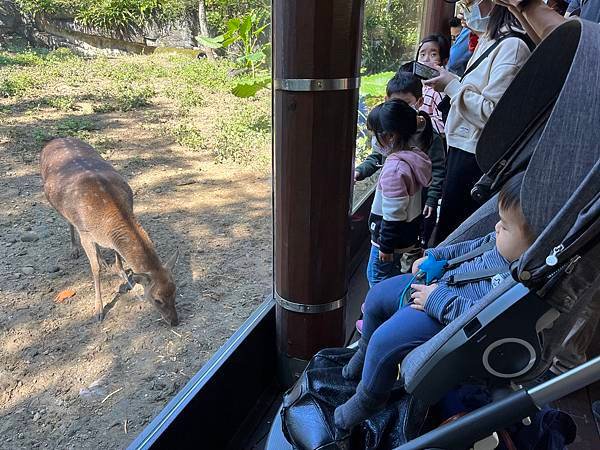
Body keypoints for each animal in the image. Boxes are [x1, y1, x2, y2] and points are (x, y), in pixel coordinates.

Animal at [40, 138, 178, 326]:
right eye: (157, 299)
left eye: (175, 290)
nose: (175, 321)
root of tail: (53, 140)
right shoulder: (85, 232)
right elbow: (95, 269)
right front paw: (98, 310)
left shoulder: (109, 236)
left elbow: (116, 253)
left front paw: (122, 275)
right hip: (62, 210)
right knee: (69, 223)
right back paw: (74, 250)